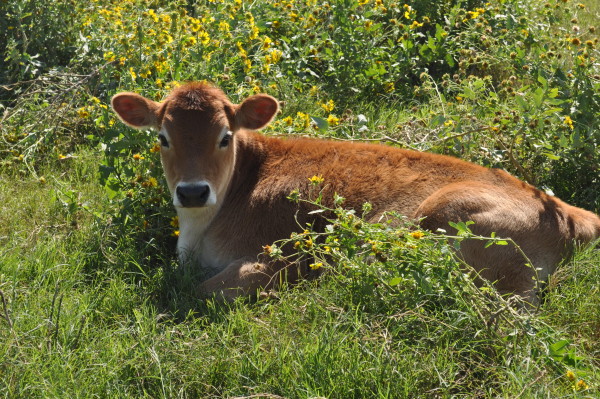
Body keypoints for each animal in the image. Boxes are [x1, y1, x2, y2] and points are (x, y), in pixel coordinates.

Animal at [113, 83, 600, 304]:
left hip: (443, 220)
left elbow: (198, 291)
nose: (193, 191)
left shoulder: (284, 255)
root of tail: (569, 213)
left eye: (225, 137)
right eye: (162, 138)